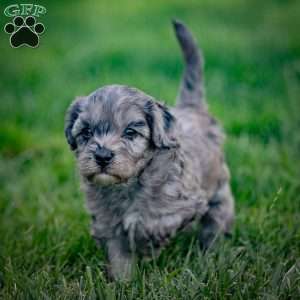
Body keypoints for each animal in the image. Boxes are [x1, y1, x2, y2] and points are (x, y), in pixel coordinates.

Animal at [65, 19, 234, 280]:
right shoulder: (107, 222)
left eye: (130, 133)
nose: (102, 156)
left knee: (214, 226)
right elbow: (119, 256)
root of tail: (192, 108)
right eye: (86, 133)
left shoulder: (186, 203)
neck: (128, 184)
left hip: (219, 195)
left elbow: (153, 224)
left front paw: (145, 244)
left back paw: (211, 253)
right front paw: (123, 283)